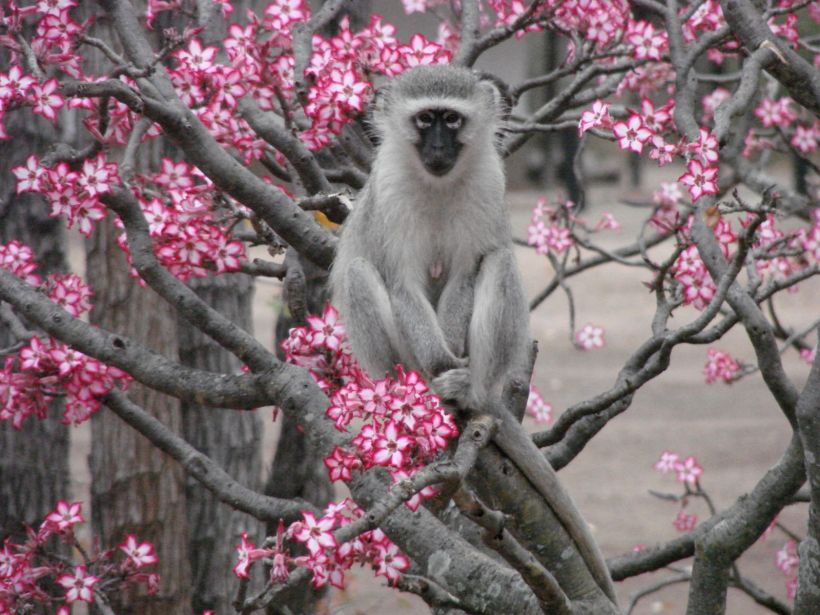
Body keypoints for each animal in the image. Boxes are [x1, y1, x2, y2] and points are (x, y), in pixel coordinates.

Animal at [330, 64, 616, 602]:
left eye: (452, 119)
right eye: (425, 120)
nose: (440, 146)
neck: (435, 184)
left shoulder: (488, 184)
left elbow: (467, 270)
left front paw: (455, 373)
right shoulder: (388, 195)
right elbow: (400, 282)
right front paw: (439, 367)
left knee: (498, 261)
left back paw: (470, 392)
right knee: (358, 272)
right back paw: (407, 392)